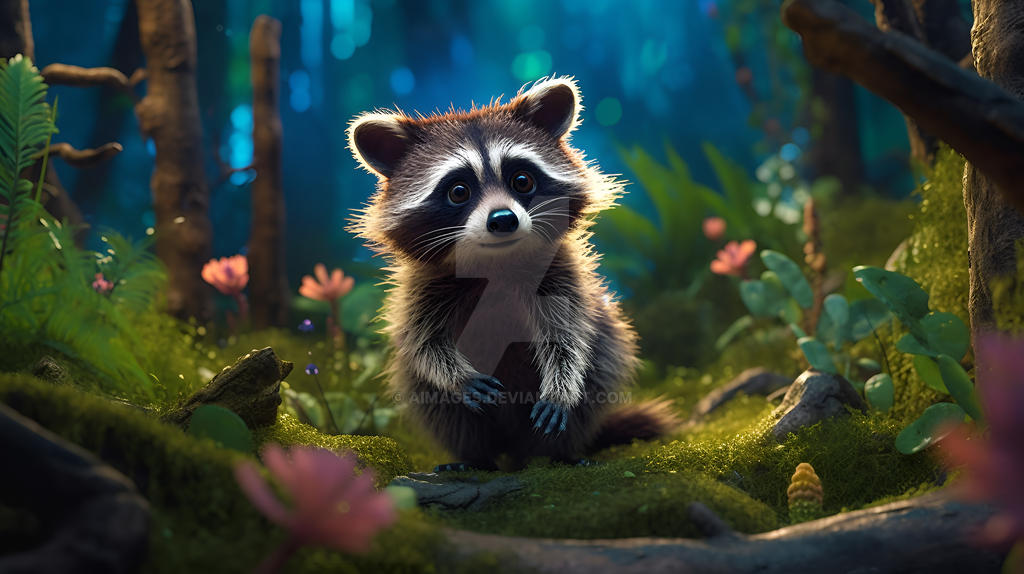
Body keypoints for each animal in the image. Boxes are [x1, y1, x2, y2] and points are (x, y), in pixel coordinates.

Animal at [347, 77, 678, 471]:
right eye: (459, 191)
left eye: (522, 180)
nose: (503, 219)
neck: (496, 263)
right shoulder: (423, 285)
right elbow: (421, 342)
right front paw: (455, 376)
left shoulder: (560, 274)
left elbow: (569, 336)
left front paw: (561, 385)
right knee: (442, 407)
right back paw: (474, 457)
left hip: (602, 361)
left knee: (594, 380)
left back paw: (558, 453)